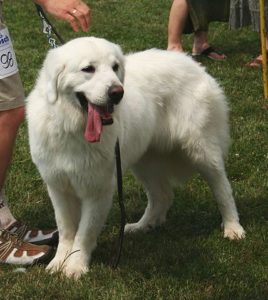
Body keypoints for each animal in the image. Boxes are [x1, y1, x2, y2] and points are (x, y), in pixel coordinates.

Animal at [26, 37, 245, 278]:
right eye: (88, 69)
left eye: (115, 67)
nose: (117, 92)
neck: (73, 128)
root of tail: (195, 65)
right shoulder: (58, 187)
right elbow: (66, 229)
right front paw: (58, 262)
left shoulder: (99, 190)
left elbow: (84, 232)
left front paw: (75, 266)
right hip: (145, 161)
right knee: (162, 196)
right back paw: (141, 226)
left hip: (201, 151)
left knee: (222, 188)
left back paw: (233, 227)